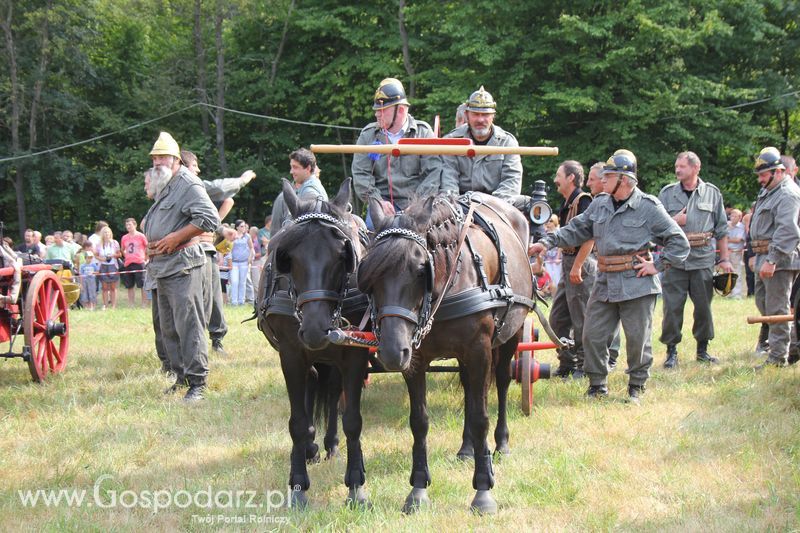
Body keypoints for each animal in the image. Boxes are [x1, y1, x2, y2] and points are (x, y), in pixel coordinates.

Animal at [256, 179, 372, 508]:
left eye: (342, 256)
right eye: (288, 258)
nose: (316, 329)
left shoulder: (354, 353)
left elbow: (352, 419)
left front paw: (356, 484)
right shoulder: (291, 354)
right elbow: (297, 421)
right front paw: (298, 485)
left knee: (332, 393)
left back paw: (330, 444)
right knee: (311, 387)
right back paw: (310, 448)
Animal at [358, 191, 536, 512]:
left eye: (421, 271)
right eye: (368, 274)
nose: (391, 352)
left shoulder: (479, 351)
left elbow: (480, 417)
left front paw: (483, 490)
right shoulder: (415, 358)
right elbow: (419, 421)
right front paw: (417, 489)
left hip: (511, 336)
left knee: (502, 383)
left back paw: (501, 444)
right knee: (468, 389)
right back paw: (467, 448)